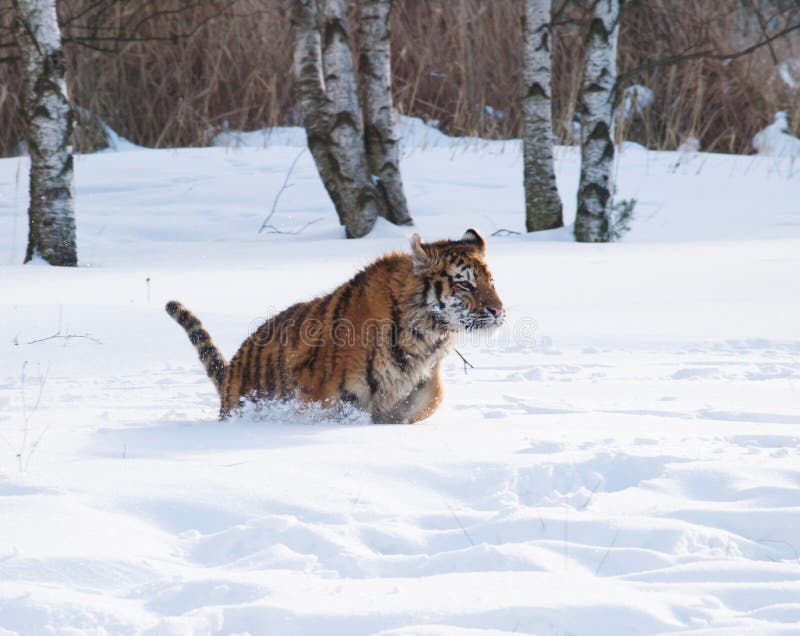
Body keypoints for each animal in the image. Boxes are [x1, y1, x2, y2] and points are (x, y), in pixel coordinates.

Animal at [167, 229, 506, 422]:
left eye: (490, 281)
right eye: (464, 284)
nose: (498, 310)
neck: (426, 337)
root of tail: (232, 371)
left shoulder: (419, 390)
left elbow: (427, 402)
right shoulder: (320, 396)